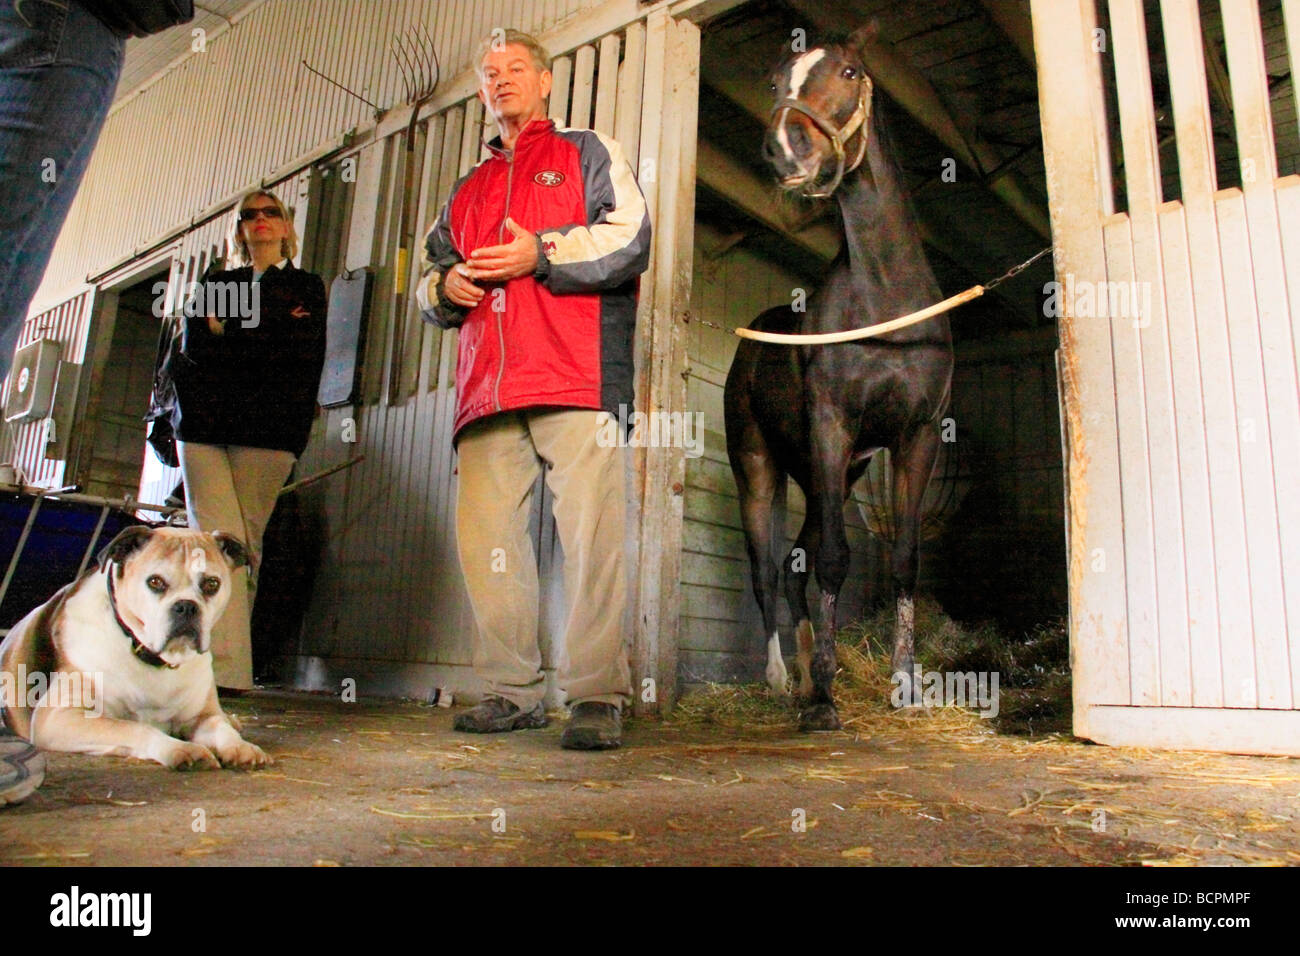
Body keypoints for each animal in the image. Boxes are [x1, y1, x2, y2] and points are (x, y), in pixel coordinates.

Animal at [728, 31, 951, 733]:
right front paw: (824, 699)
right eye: (775, 81)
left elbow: (903, 561)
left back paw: (802, 673)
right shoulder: (832, 425)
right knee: (769, 570)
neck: (885, 293)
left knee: (795, 571)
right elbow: (833, 560)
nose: (786, 147)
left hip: (834, 474)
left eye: (850, 71)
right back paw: (782, 681)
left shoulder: (917, 437)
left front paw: (903, 685)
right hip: (761, 468)